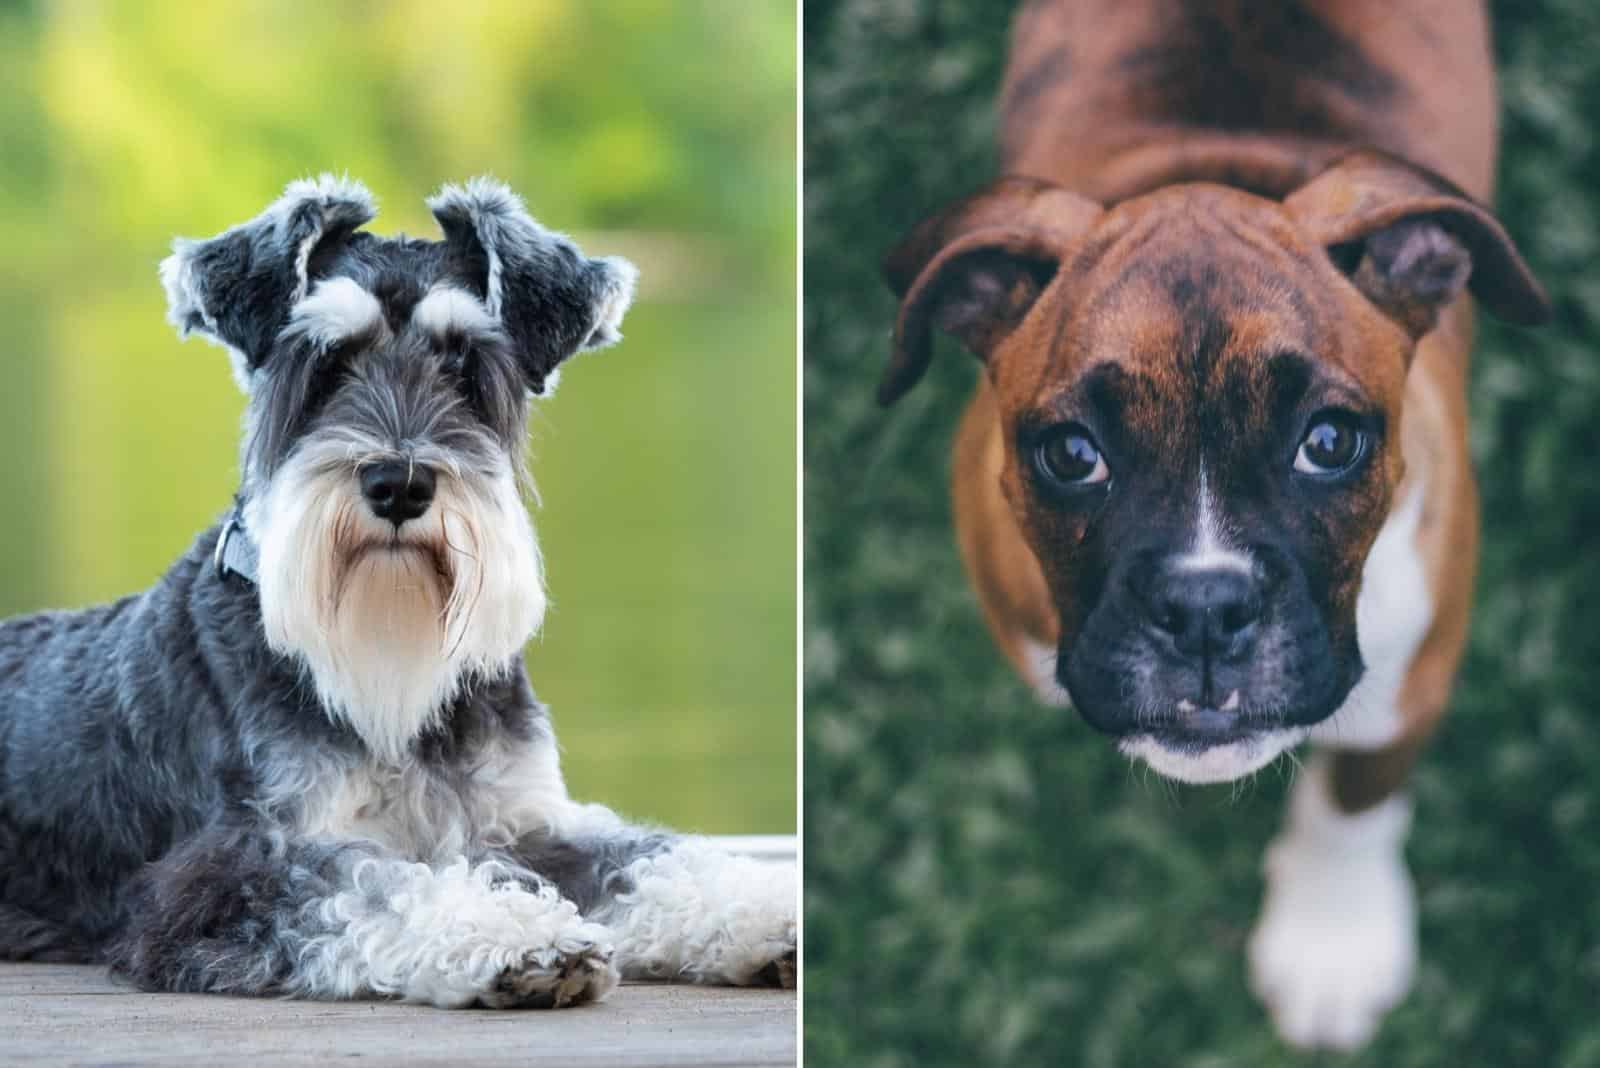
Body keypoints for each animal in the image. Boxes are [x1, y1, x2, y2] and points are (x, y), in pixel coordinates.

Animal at [889, 0, 1548, 1048]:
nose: (1204, 610)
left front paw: (1333, 940)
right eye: (1071, 455)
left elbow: (1354, 804)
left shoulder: (1412, 681)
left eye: (1331, 441)